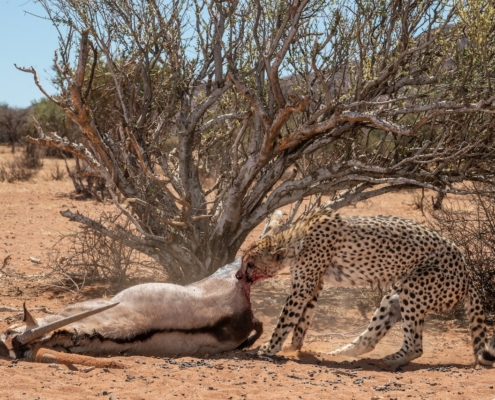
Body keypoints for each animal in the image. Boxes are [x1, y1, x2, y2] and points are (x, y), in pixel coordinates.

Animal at [237, 208, 495, 368]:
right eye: (242, 261)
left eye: (250, 264)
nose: (239, 275)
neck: (295, 239)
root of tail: (467, 273)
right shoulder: (315, 284)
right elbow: (301, 321)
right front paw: (295, 347)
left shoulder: (303, 286)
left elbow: (285, 320)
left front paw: (269, 348)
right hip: (393, 297)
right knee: (370, 339)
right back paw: (338, 354)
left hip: (413, 289)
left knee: (415, 346)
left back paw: (389, 361)